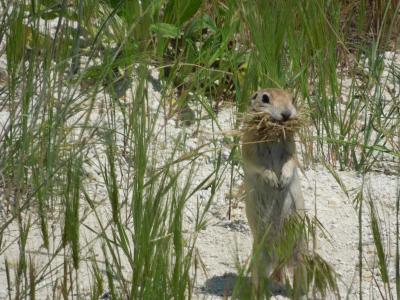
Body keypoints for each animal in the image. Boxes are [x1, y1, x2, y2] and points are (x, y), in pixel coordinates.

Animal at [241, 88, 306, 296]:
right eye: (265, 98)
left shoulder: (291, 145)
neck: (273, 136)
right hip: (259, 256)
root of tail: (280, 257)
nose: (286, 114)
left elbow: (292, 160)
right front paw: (272, 179)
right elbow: (256, 164)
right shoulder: (249, 143)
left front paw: (283, 179)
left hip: (300, 250)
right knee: (260, 278)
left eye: (292, 98)